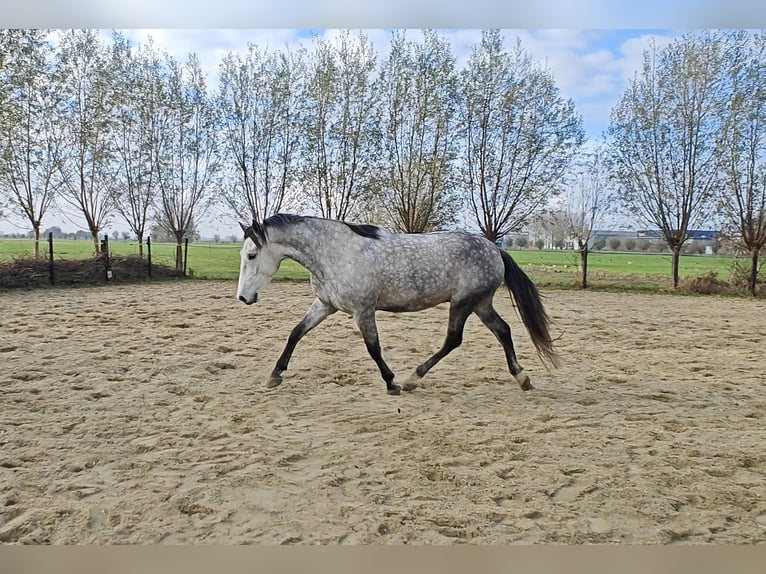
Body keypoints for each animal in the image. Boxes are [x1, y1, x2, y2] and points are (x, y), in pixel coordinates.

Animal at [236, 213, 558, 395]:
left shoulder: (363, 310)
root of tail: (494, 248)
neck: (335, 253)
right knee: (503, 330)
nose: (243, 298)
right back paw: (522, 378)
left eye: (251, 255)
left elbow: (374, 348)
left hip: (463, 302)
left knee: (453, 339)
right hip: (481, 303)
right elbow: (295, 333)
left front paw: (391, 383)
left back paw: (412, 379)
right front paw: (274, 376)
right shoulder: (324, 305)